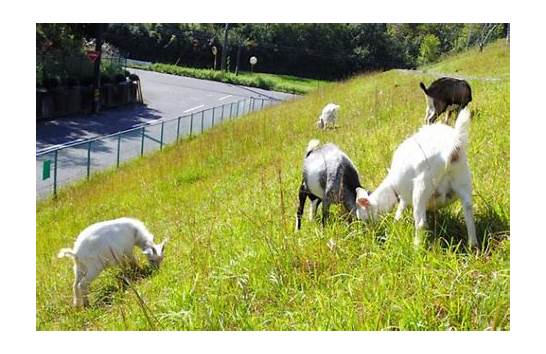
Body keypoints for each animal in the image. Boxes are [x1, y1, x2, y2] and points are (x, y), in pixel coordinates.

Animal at [354, 108, 474, 249]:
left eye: (364, 218)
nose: (367, 233)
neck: (391, 186)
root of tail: (451, 147)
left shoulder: (404, 196)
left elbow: (401, 208)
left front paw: (396, 221)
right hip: (463, 178)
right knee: (468, 210)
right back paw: (473, 244)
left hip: (422, 186)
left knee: (420, 222)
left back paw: (416, 247)